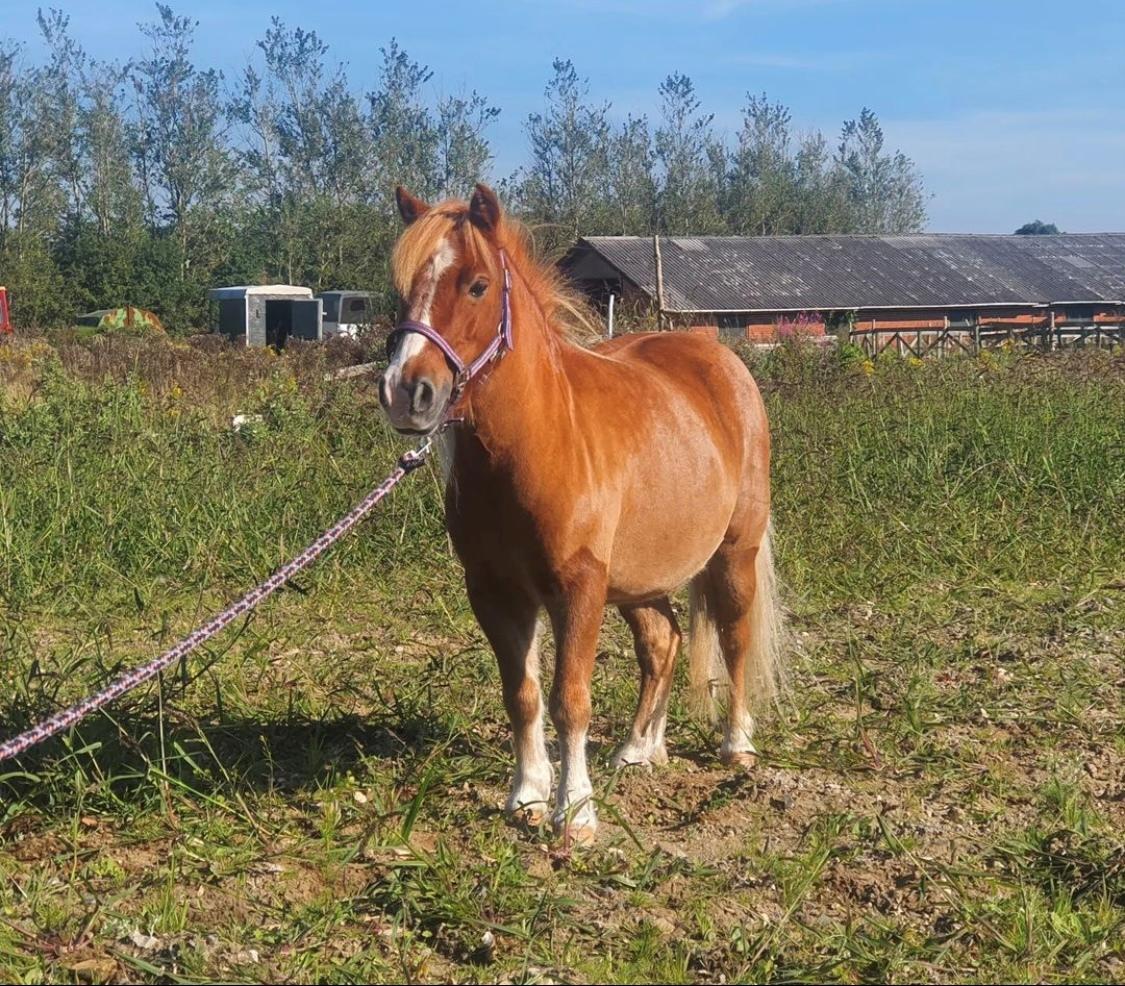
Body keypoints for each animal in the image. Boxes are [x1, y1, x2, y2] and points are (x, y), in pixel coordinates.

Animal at [380, 183, 783, 837]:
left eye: (477, 285)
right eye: (404, 288)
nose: (404, 391)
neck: (538, 444)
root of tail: (719, 359)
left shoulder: (578, 588)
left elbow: (571, 700)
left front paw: (575, 812)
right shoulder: (495, 593)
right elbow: (523, 696)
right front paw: (527, 796)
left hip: (733, 554)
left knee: (734, 637)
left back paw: (737, 745)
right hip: (639, 577)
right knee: (663, 641)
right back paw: (640, 748)